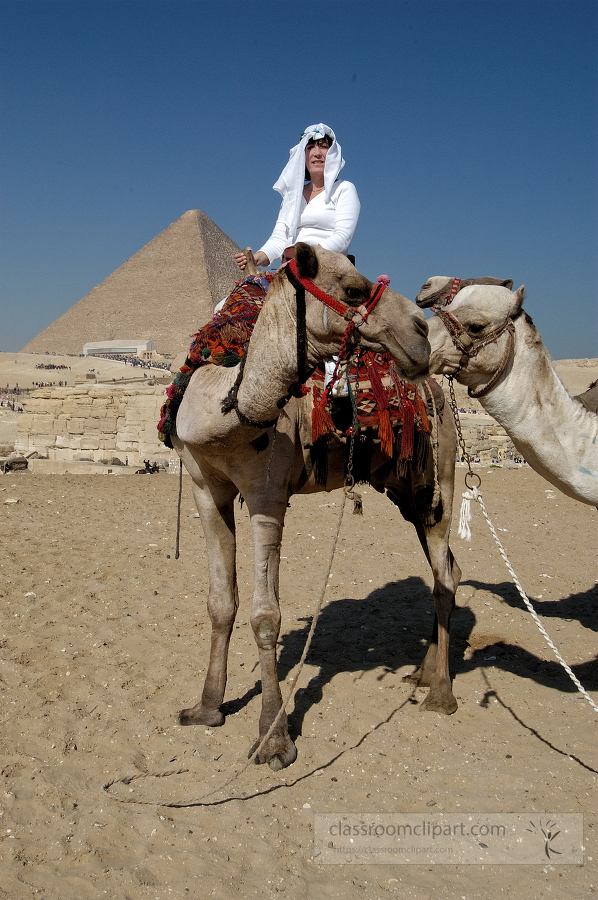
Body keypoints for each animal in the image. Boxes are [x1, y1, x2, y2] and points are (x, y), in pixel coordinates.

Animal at [173, 243, 464, 768]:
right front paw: (206, 707)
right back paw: (424, 672)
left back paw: (441, 693)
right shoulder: (208, 490)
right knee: (446, 567)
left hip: (439, 476)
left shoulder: (267, 494)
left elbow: (265, 616)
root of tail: (435, 387)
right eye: (353, 290)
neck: (219, 405)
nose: (420, 332)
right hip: (409, 491)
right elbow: (221, 602)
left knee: (445, 574)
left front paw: (273, 739)